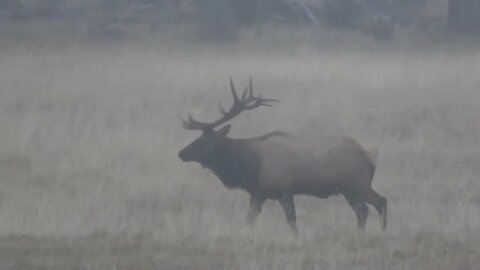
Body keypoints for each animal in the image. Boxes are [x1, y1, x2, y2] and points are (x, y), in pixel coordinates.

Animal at [178, 78, 388, 234]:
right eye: (198, 138)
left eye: (205, 141)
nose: (181, 153)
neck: (250, 166)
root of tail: (371, 157)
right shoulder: (259, 193)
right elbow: (250, 219)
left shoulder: (283, 190)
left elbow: (292, 221)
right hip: (349, 190)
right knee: (364, 210)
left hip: (358, 184)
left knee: (378, 203)